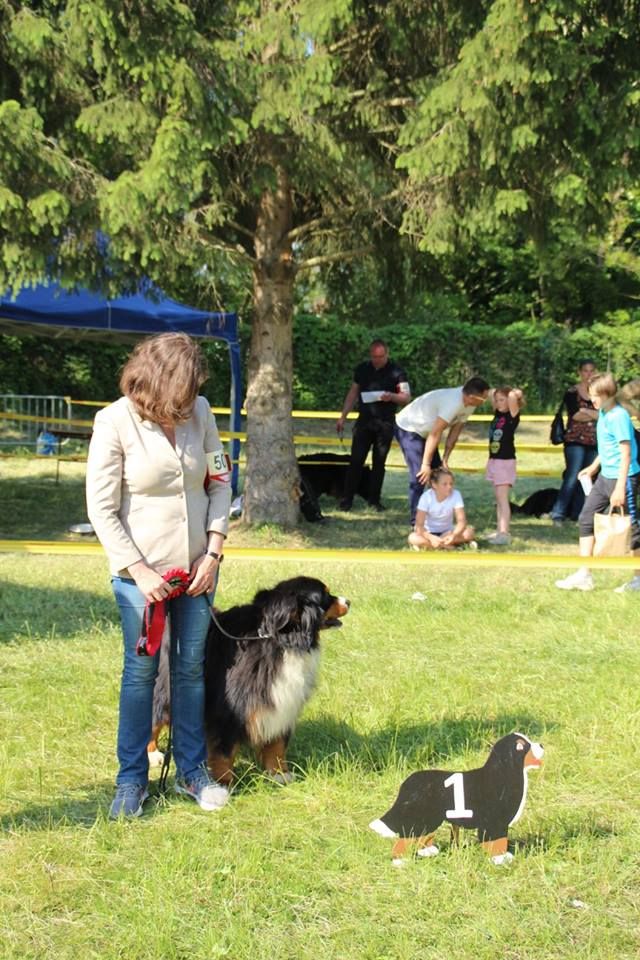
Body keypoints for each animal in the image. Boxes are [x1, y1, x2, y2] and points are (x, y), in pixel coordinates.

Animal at [151, 576, 350, 788]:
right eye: (326, 595)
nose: (348, 602)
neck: (282, 640)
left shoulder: (282, 701)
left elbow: (276, 744)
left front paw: (279, 773)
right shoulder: (228, 708)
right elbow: (224, 750)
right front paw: (223, 782)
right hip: (163, 689)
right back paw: (153, 754)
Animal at [370, 732, 544, 868]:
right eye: (521, 746)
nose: (541, 745)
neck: (502, 775)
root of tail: (407, 783)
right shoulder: (494, 823)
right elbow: (496, 842)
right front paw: (500, 859)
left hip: (430, 818)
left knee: (422, 836)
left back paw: (427, 851)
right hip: (417, 817)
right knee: (405, 838)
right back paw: (400, 862)